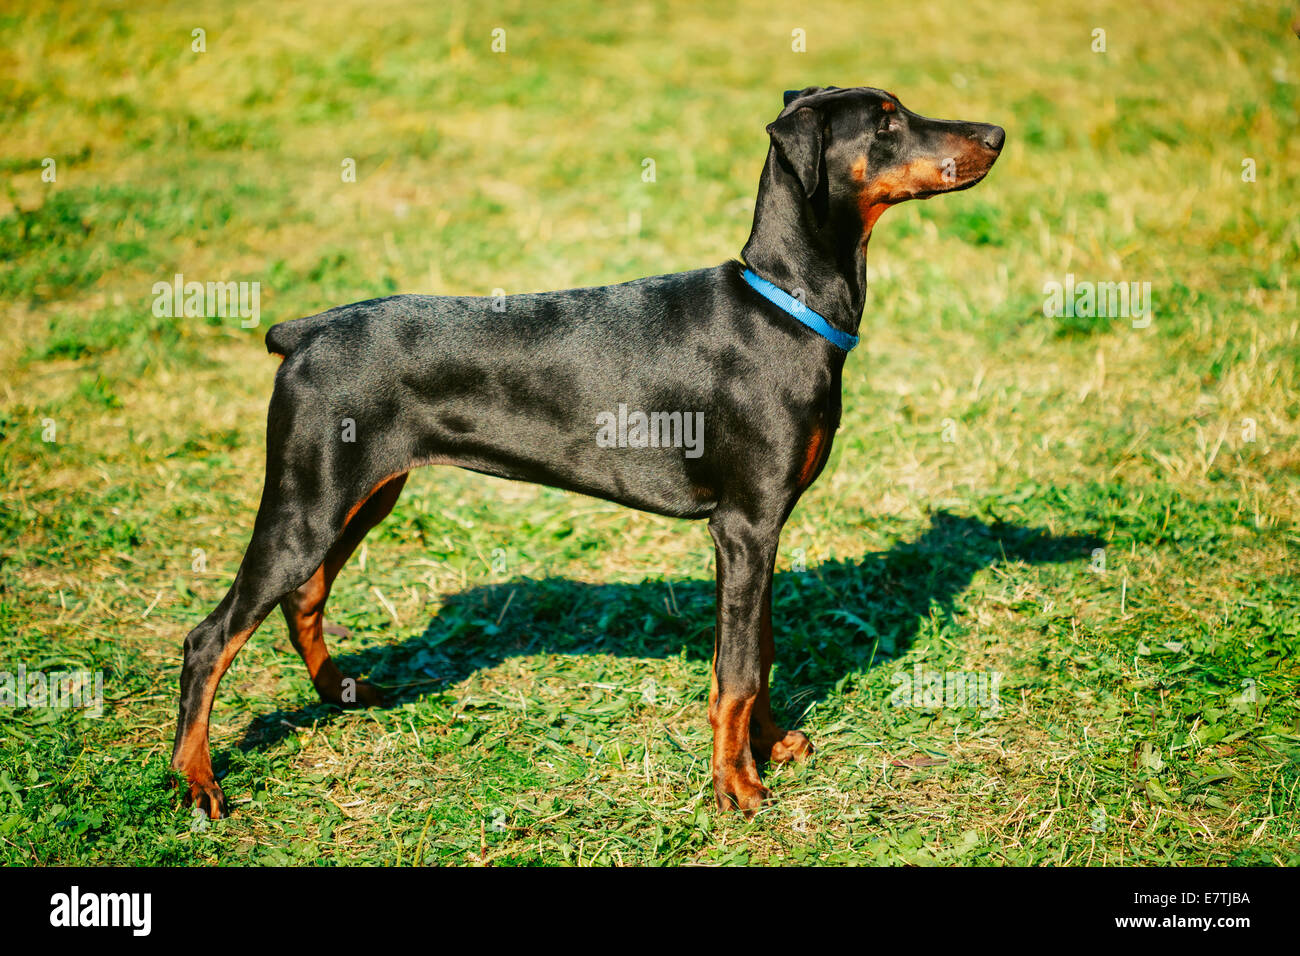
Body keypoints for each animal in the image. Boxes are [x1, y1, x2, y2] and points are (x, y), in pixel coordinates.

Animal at [172, 83, 1003, 816]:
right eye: (887, 121)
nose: (996, 134)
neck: (785, 305)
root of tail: (305, 332)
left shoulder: (765, 530)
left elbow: (760, 653)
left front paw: (769, 747)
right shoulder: (744, 526)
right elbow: (736, 671)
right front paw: (736, 786)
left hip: (363, 495)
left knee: (304, 597)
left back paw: (339, 694)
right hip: (309, 501)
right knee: (210, 637)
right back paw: (197, 780)